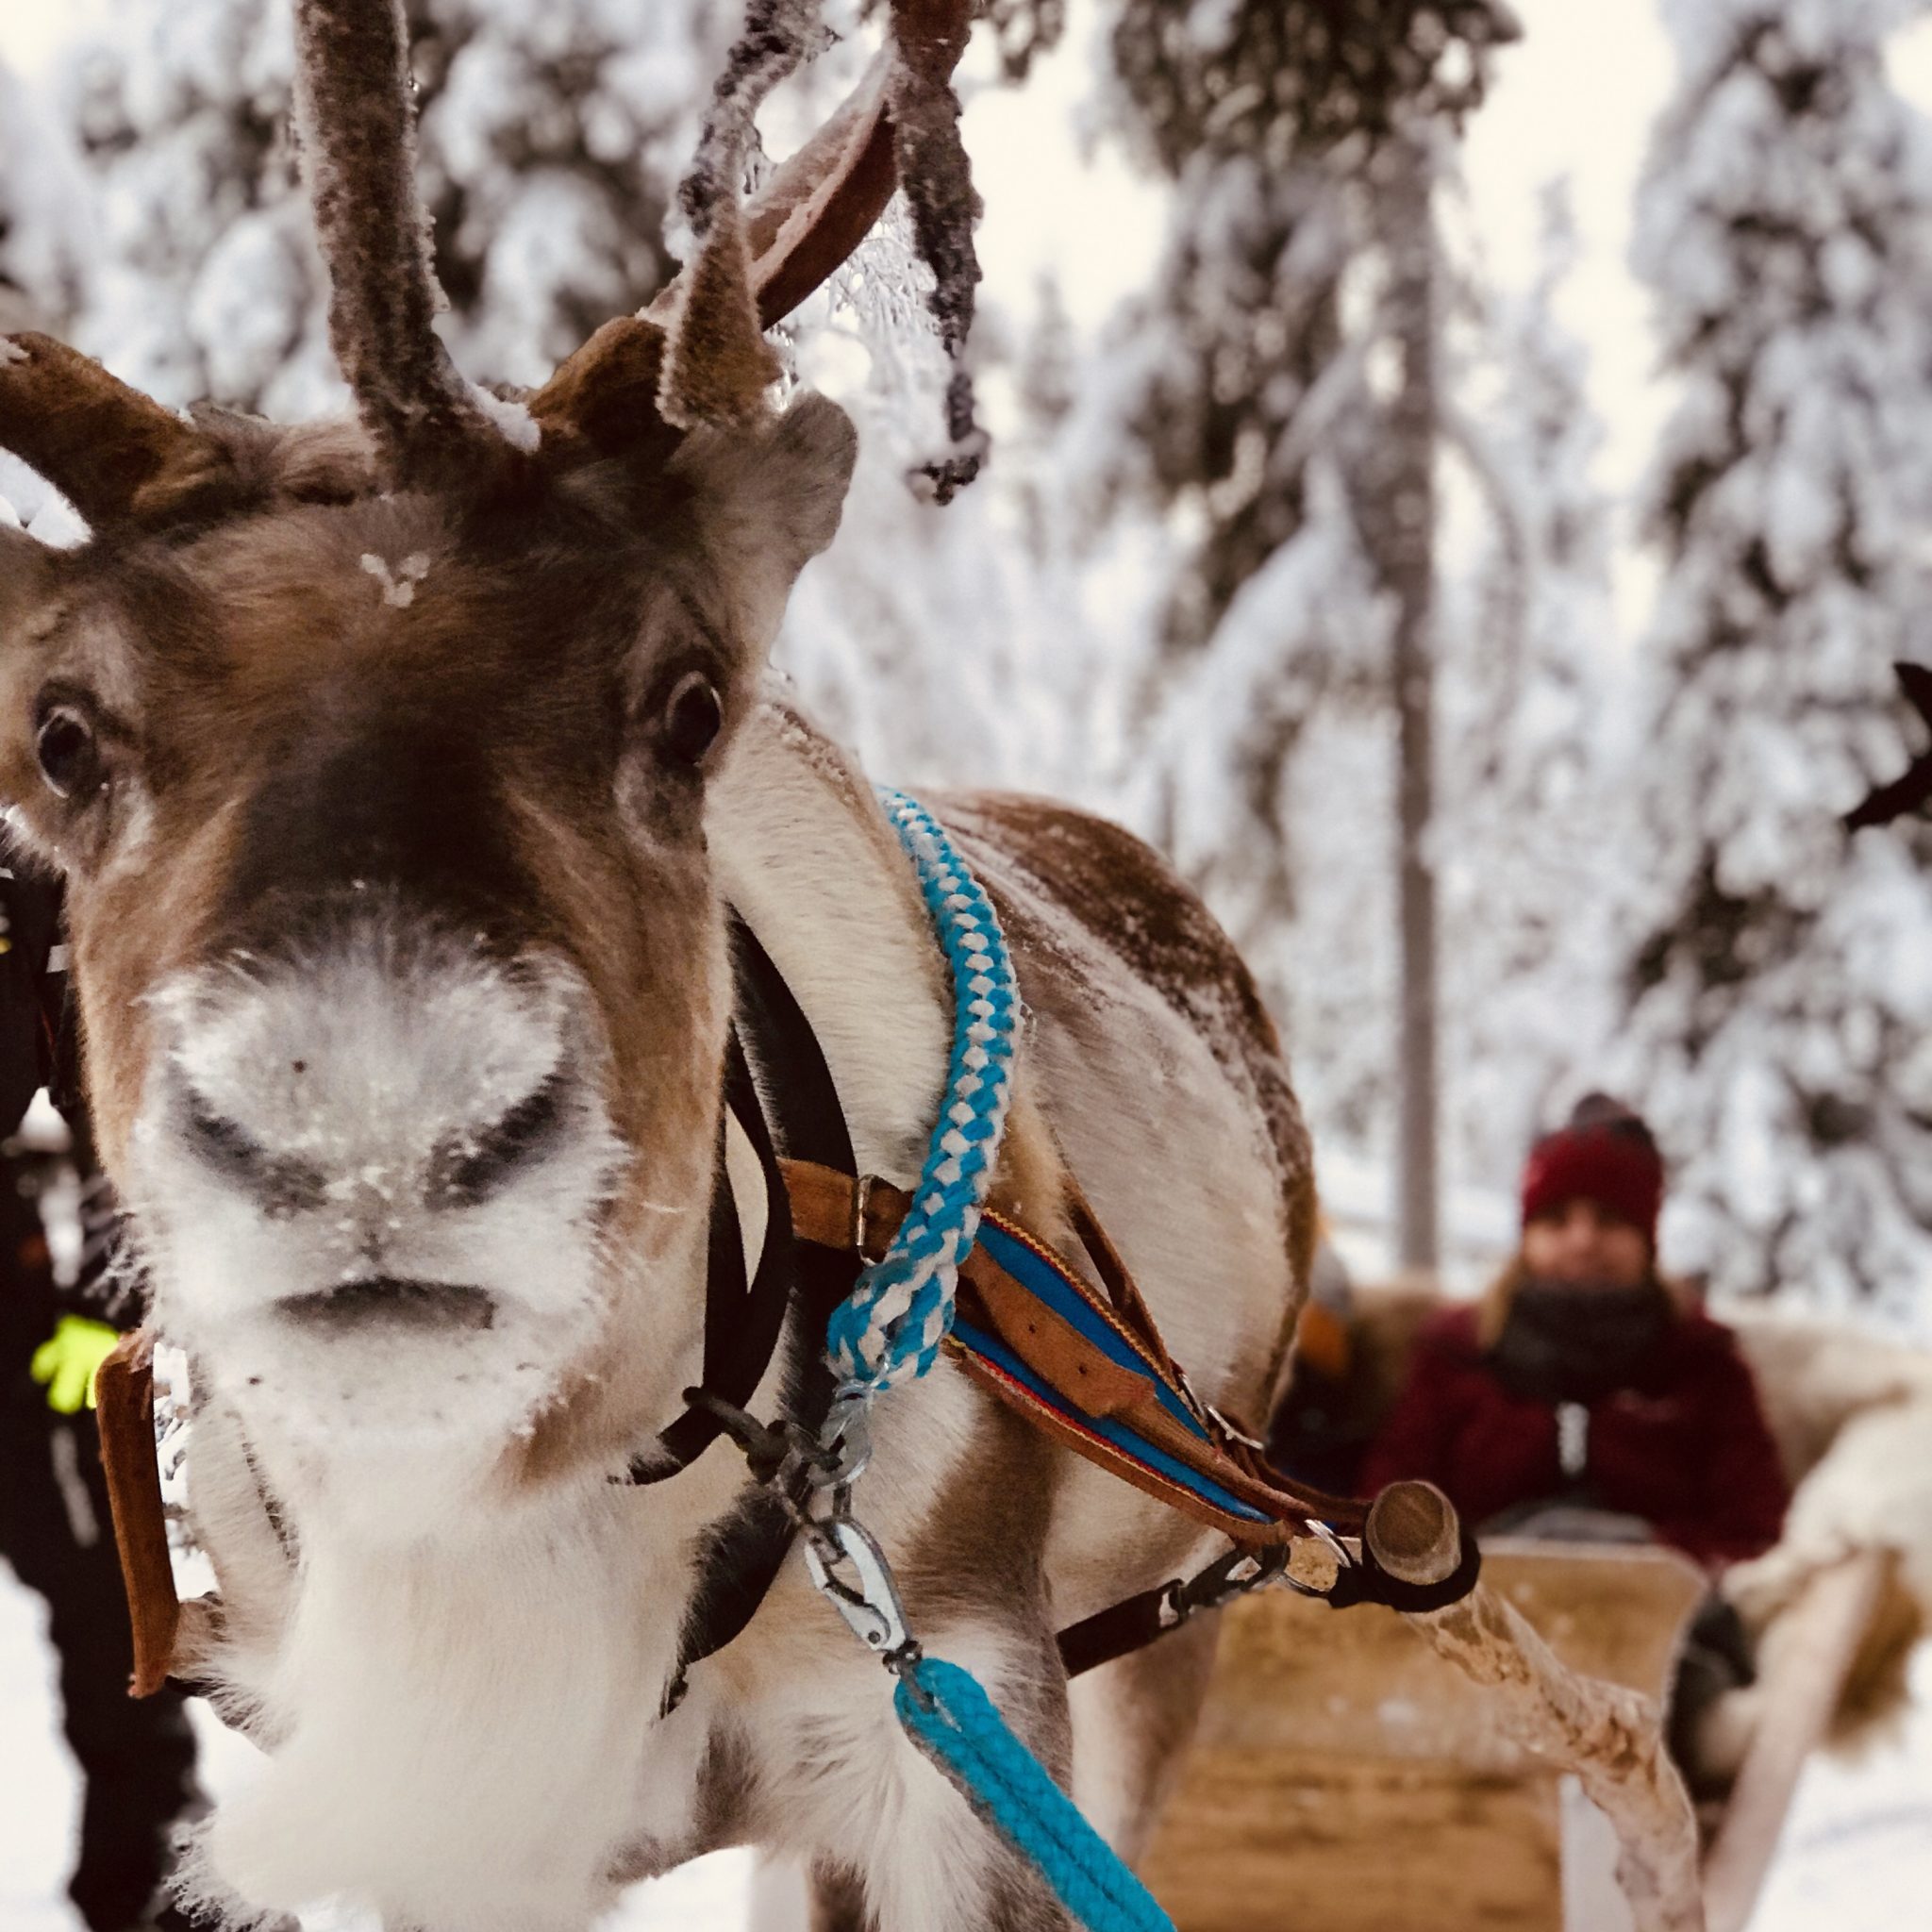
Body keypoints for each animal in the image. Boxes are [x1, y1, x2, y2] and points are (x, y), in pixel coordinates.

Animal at [0, 4, 1319, 1929]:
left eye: (691, 701)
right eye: (58, 735)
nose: (372, 1136)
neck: (544, 1514)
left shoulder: (967, 1702)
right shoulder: (456, 1829)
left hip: (1170, 1621)